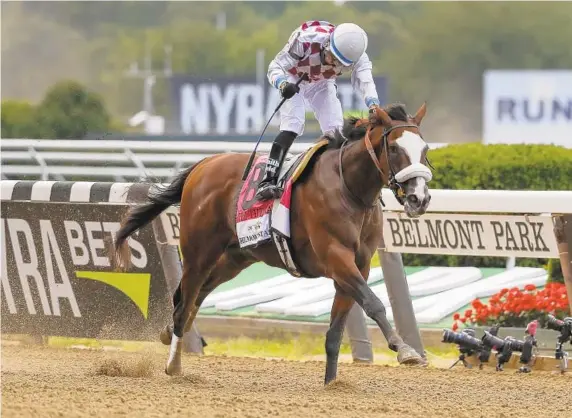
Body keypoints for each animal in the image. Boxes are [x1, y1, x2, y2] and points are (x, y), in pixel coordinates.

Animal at [111, 102, 434, 386]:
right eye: (395, 148)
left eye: (425, 149)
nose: (420, 198)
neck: (349, 189)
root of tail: (204, 163)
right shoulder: (337, 259)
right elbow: (374, 303)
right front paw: (405, 350)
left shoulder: (359, 266)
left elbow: (336, 331)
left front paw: (331, 384)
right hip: (198, 253)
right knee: (184, 303)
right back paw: (174, 365)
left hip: (234, 258)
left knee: (193, 297)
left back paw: (168, 334)